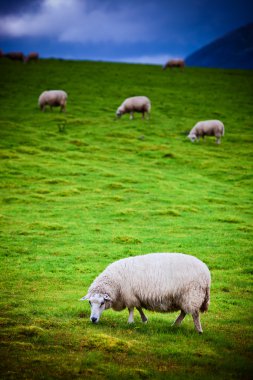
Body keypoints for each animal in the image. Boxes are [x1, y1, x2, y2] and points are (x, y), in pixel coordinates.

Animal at [80, 252, 211, 332]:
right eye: (90, 303)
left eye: (102, 303)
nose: (93, 319)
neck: (116, 282)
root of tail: (206, 273)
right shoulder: (135, 295)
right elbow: (138, 307)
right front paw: (144, 320)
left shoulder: (129, 295)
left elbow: (131, 309)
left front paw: (130, 322)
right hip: (184, 297)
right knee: (184, 311)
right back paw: (175, 325)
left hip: (193, 294)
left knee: (194, 314)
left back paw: (198, 330)